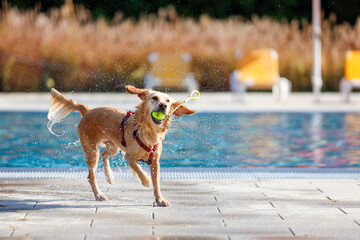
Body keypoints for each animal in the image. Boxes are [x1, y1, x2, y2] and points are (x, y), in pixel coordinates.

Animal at [47, 86, 195, 206]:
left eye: (168, 101)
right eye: (154, 98)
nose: (163, 105)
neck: (148, 132)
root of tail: (87, 110)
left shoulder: (155, 162)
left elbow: (157, 184)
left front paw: (160, 200)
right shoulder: (128, 156)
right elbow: (139, 169)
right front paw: (146, 181)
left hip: (114, 147)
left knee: (104, 155)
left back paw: (109, 176)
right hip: (91, 151)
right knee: (91, 176)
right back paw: (99, 195)